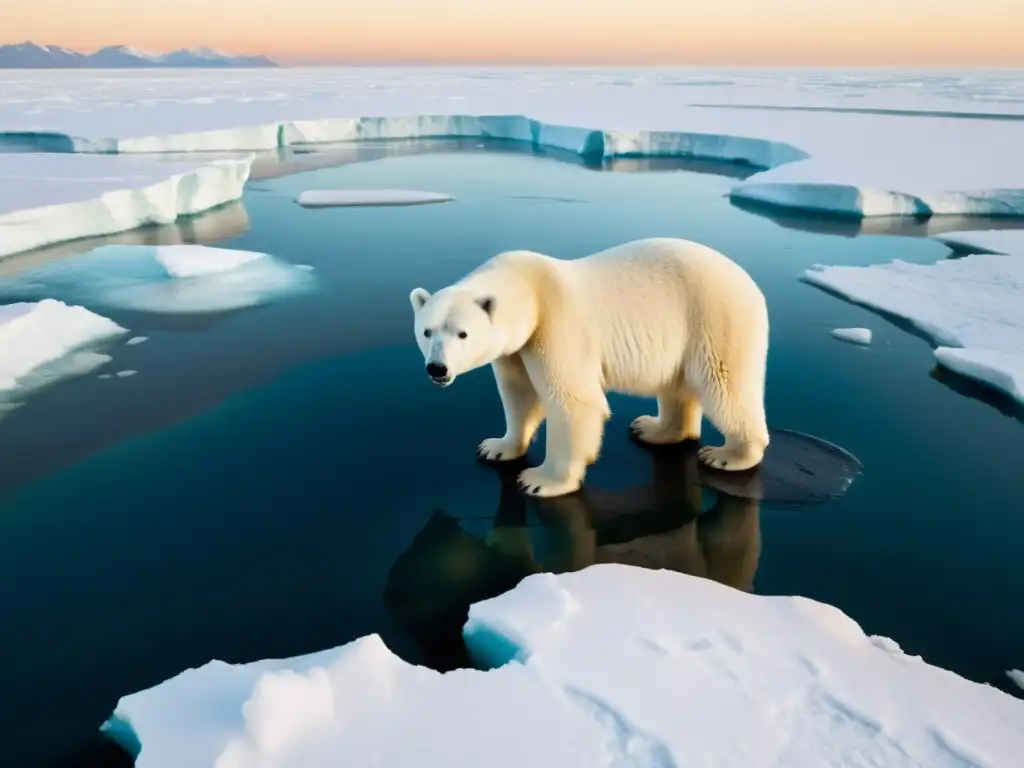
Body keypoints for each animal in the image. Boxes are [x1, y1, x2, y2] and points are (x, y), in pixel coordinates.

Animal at [407, 237, 770, 499]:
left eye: (462, 333)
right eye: (427, 331)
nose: (437, 369)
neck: (529, 287)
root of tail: (751, 284)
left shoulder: (554, 327)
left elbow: (574, 402)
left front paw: (540, 480)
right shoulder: (516, 349)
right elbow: (519, 395)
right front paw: (497, 447)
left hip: (714, 319)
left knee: (724, 385)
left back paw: (728, 454)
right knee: (676, 385)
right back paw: (653, 429)